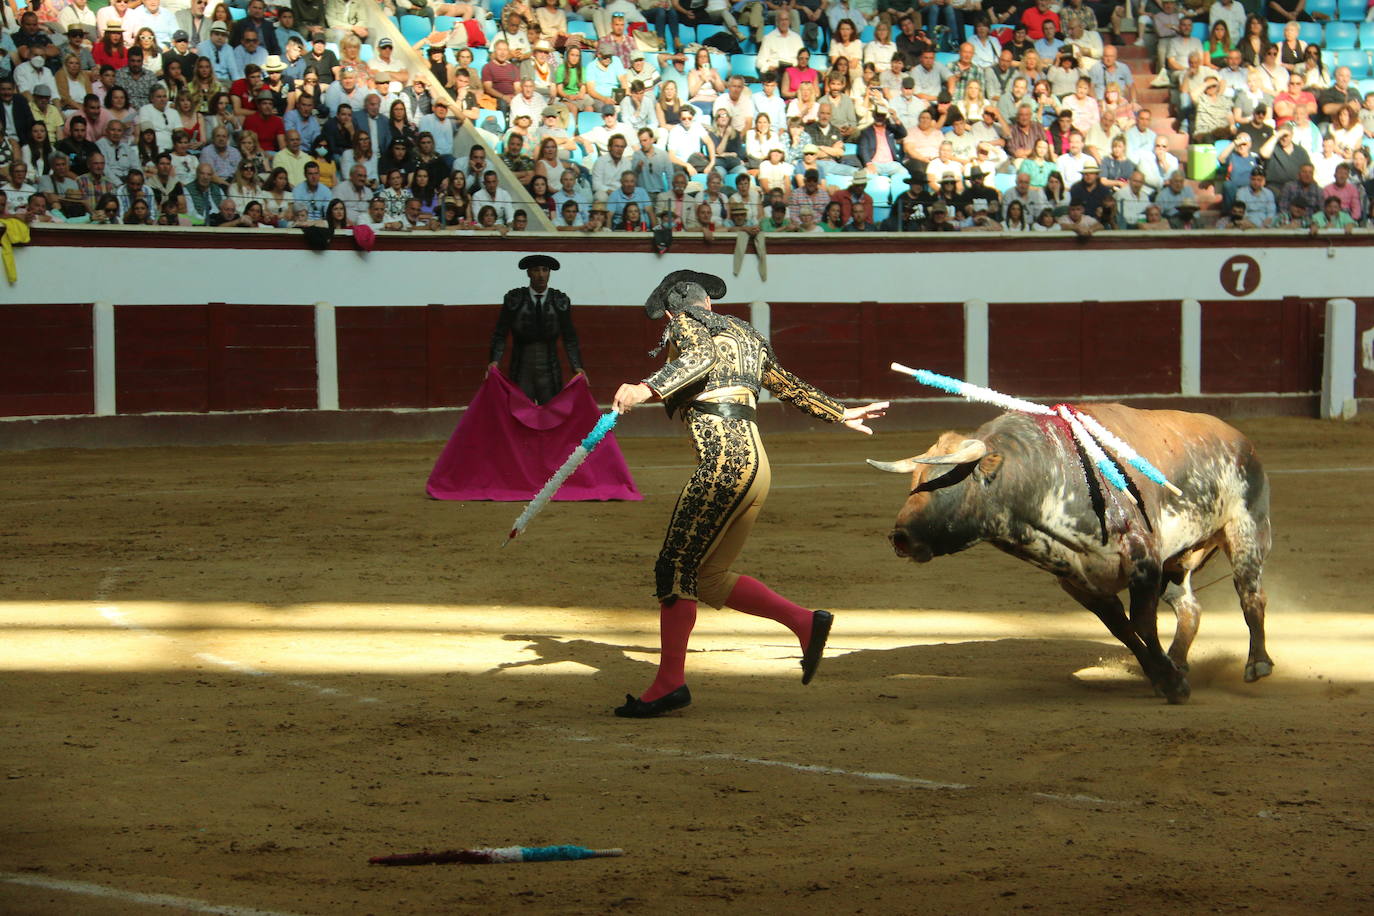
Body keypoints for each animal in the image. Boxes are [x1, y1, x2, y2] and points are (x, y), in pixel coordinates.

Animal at [868, 401, 1275, 703]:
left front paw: (1172, 684)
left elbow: (1142, 622)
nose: (899, 538)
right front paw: (1164, 676)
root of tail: (1239, 439)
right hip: (1177, 562)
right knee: (1191, 607)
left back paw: (1257, 665)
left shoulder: (1143, 559)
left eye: (946, 482)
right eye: (913, 482)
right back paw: (1178, 661)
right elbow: (1124, 630)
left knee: (1251, 595)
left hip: (1246, 531)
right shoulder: (1079, 582)